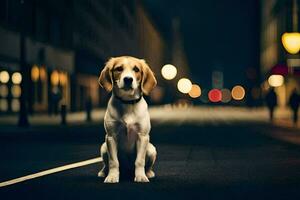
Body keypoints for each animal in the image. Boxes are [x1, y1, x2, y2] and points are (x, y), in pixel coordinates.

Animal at [98, 55, 158, 183]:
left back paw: (148, 173)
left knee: (147, 165)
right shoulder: (111, 137)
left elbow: (139, 161)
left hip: (151, 149)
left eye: (136, 69)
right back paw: (104, 172)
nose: (128, 79)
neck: (127, 102)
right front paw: (112, 176)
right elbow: (113, 161)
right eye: (119, 69)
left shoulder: (142, 136)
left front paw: (141, 176)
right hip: (104, 147)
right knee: (106, 164)